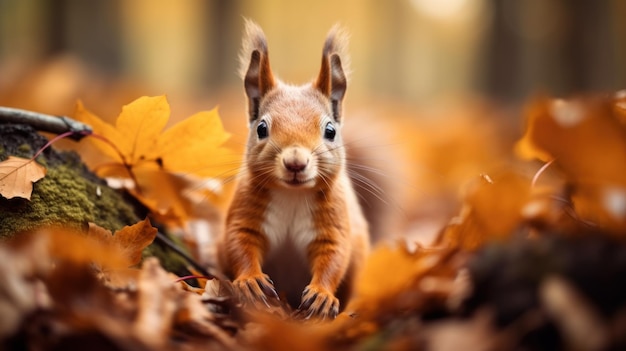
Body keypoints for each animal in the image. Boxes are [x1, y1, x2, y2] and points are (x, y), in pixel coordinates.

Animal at [217, 20, 368, 322]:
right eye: (262, 128)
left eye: (330, 130)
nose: (295, 162)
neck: (292, 195)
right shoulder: (245, 212)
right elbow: (239, 242)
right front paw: (250, 281)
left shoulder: (333, 221)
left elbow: (334, 256)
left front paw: (322, 295)